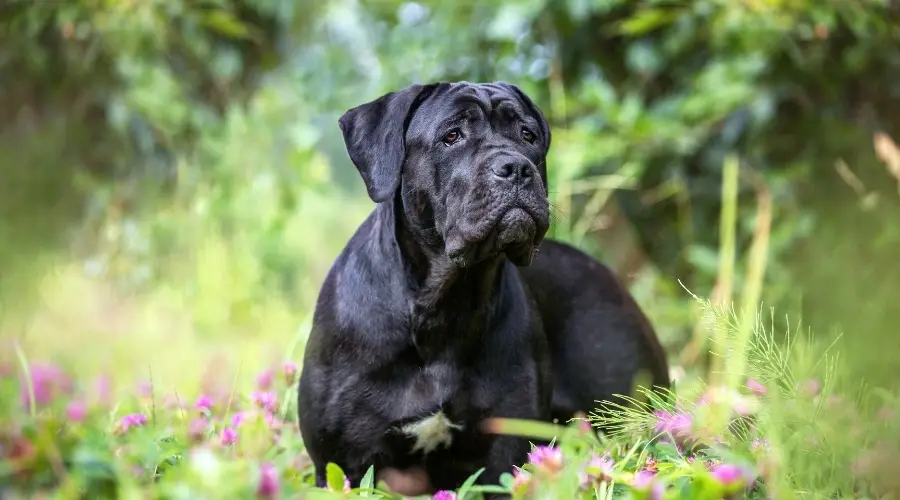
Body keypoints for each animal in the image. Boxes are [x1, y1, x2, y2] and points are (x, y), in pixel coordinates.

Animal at [298, 81, 672, 492]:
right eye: (452, 136)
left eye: (528, 135)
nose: (517, 168)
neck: (445, 302)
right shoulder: (346, 461)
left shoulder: (503, 454)